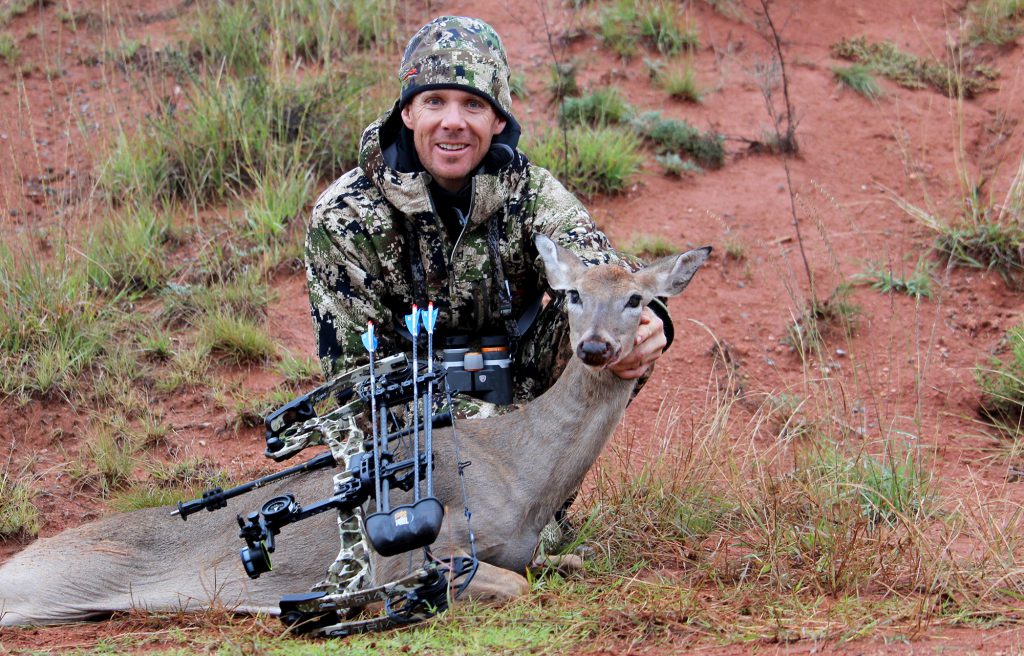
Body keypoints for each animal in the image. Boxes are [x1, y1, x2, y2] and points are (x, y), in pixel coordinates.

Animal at [0, 236, 708, 630]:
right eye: (574, 295)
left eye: (637, 300)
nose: (595, 347)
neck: (526, 475)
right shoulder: (418, 549)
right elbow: (516, 586)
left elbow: (563, 563)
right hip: (49, 581)